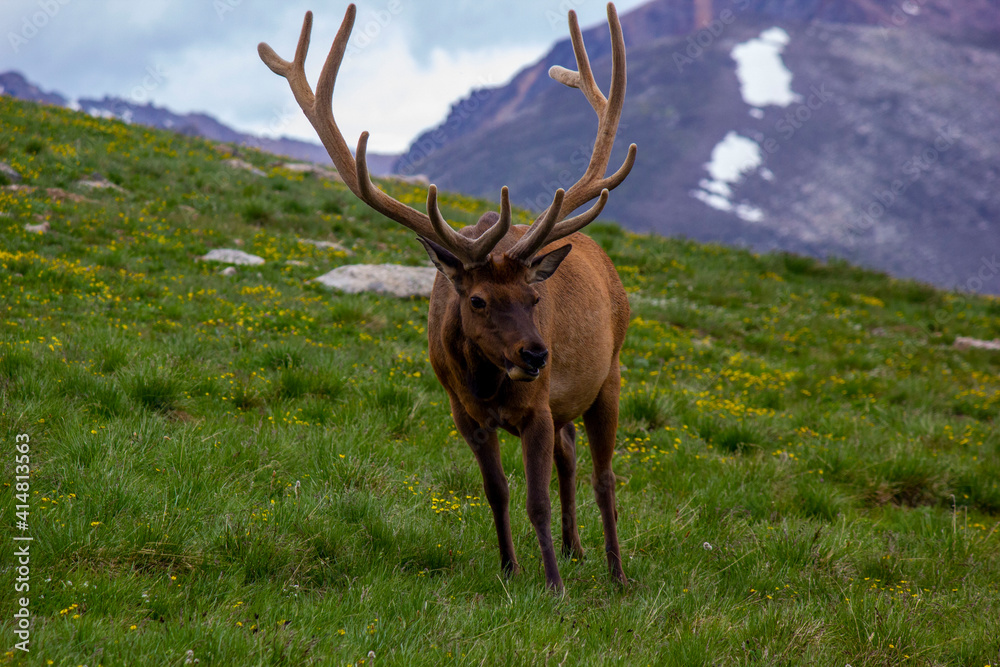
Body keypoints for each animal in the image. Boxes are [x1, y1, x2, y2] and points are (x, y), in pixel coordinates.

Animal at [259, 2, 637, 591]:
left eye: (534, 298)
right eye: (477, 300)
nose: (536, 353)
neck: (485, 381)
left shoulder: (536, 408)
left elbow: (535, 501)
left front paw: (552, 586)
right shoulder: (464, 414)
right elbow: (497, 493)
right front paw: (509, 570)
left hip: (609, 375)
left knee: (605, 476)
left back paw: (615, 574)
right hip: (568, 401)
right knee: (572, 457)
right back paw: (576, 550)